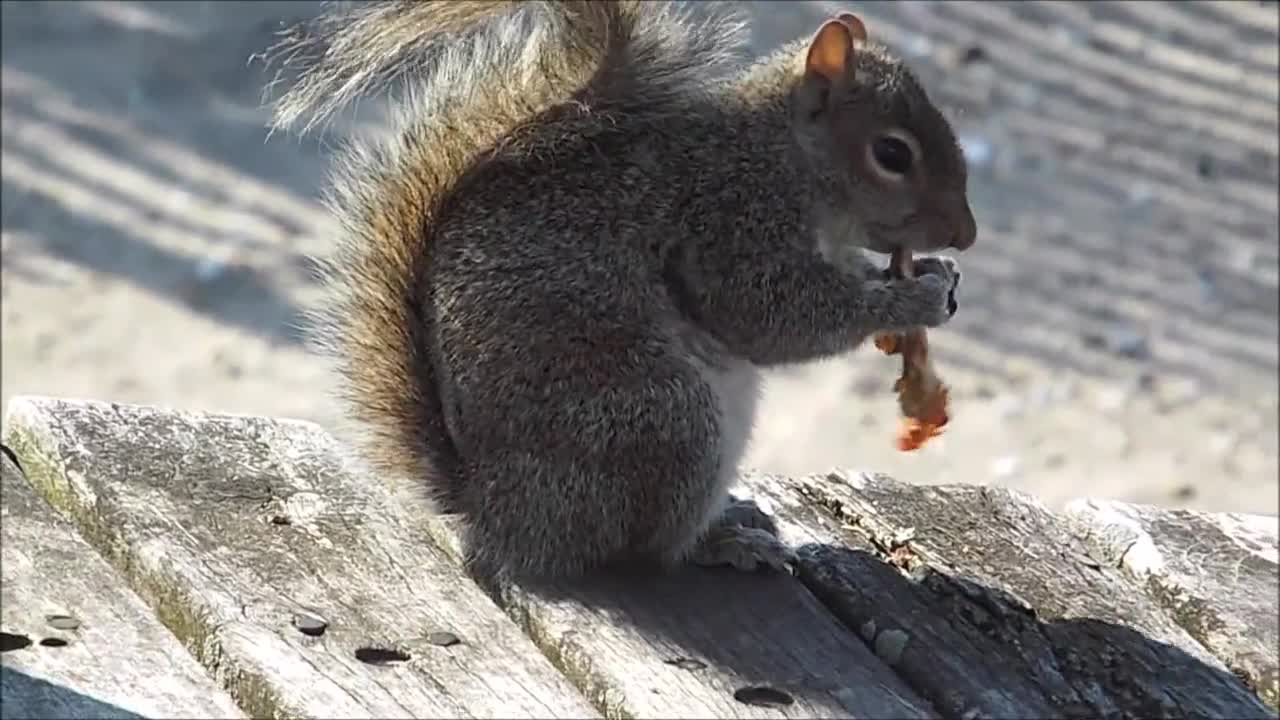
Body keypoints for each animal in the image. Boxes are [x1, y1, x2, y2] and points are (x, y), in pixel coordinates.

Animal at [267, 1, 967, 584]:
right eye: (892, 153)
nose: (967, 235)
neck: (784, 152)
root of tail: (492, 509)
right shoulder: (729, 218)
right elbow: (770, 316)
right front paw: (914, 300)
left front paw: (934, 276)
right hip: (664, 419)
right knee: (647, 550)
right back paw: (722, 544)